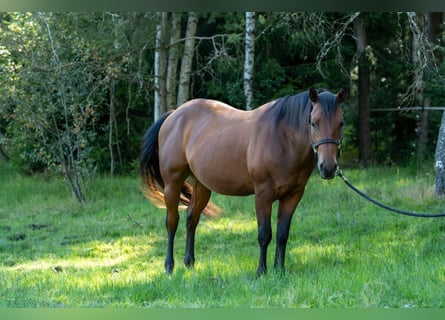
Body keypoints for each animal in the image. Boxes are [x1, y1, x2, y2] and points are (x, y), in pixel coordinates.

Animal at [140, 87, 346, 276]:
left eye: (341, 123)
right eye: (313, 123)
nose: (328, 167)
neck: (282, 138)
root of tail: (173, 115)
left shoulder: (293, 195)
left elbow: (282, 234)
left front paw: (279, 271)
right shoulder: (263, 194)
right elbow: (264, 234)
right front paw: (261, 271)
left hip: (201, 185)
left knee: (192, 219)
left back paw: (189, 262)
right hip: (172, 183)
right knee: (172, 222)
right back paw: (169, 266)